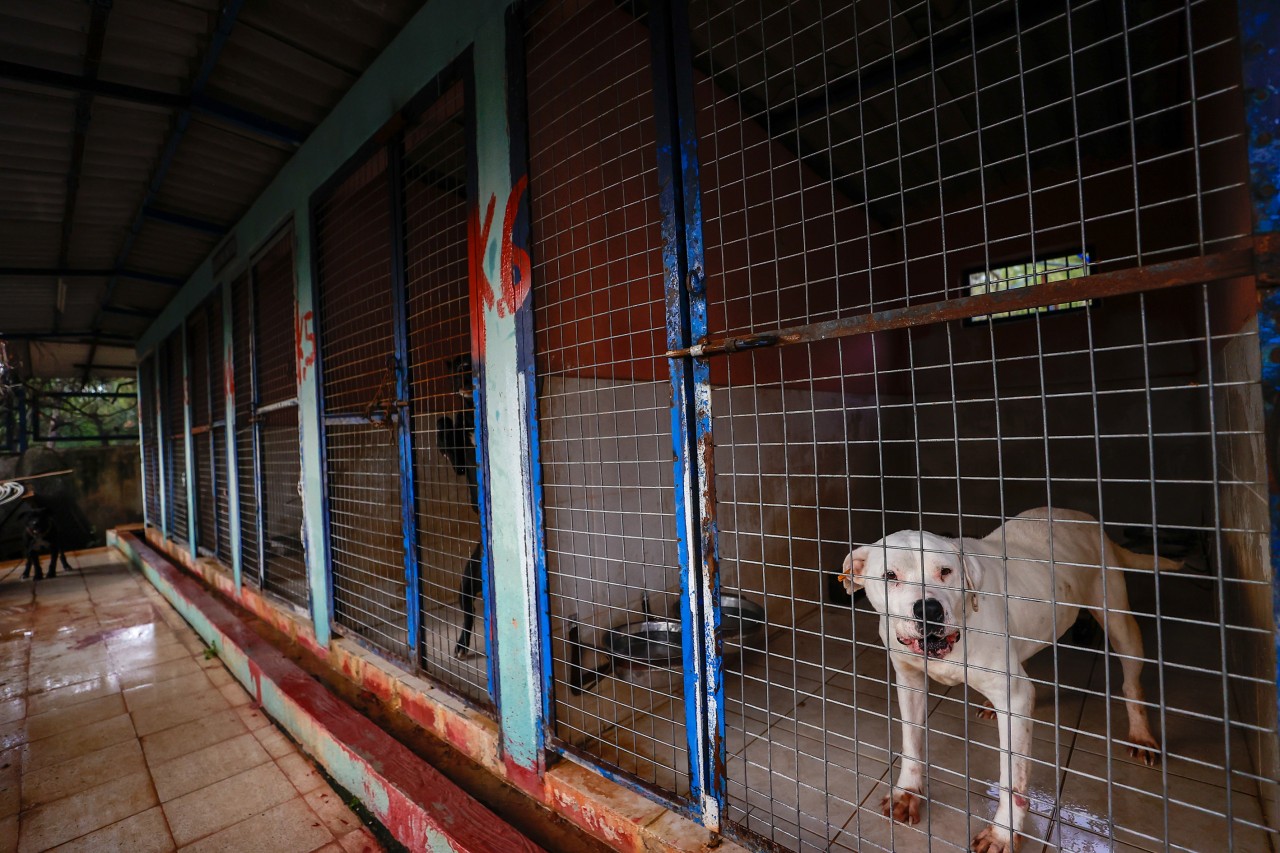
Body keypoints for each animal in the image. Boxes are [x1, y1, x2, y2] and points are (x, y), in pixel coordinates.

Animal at [839, 507, 1177, 850]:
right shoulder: (909, 680)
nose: (929, 610)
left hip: (1119, 621)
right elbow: (911, 740)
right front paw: (907, 792)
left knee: (1130, 680)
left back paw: (1141, 734)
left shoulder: (1014, 701)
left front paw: (1003, 832)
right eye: (889, 576)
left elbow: (1012, 778)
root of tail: (1083, 517)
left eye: (946, 571)